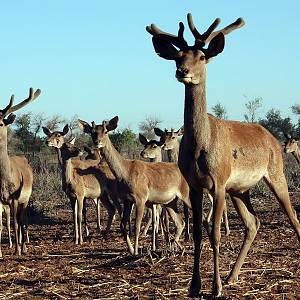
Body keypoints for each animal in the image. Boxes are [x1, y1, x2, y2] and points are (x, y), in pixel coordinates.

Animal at [77, 117, 190, 255]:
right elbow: (123, 224)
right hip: (170, 202)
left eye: (106, 131)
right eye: (92, 132)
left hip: (186, 196)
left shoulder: (140, 200)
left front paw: (136, 251)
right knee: (180, 222)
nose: (97, 142)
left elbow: (137, 226)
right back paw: (174, 247)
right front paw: (131, 250)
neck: (126, 171)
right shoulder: (127, 200)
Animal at [147, 12, 300, 296]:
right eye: (178, 56)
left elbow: (215, 233)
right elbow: (197, 234)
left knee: (292, 215)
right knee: (253, 223)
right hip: (240, 189)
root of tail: (272, 139)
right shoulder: (194, 185)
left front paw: (215, 288)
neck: (199, 144)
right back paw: (233, 276)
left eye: (202, 57)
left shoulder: (218, 182)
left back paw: (229, 278)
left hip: (275, 173)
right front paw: (195, 286)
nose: (183, 72)